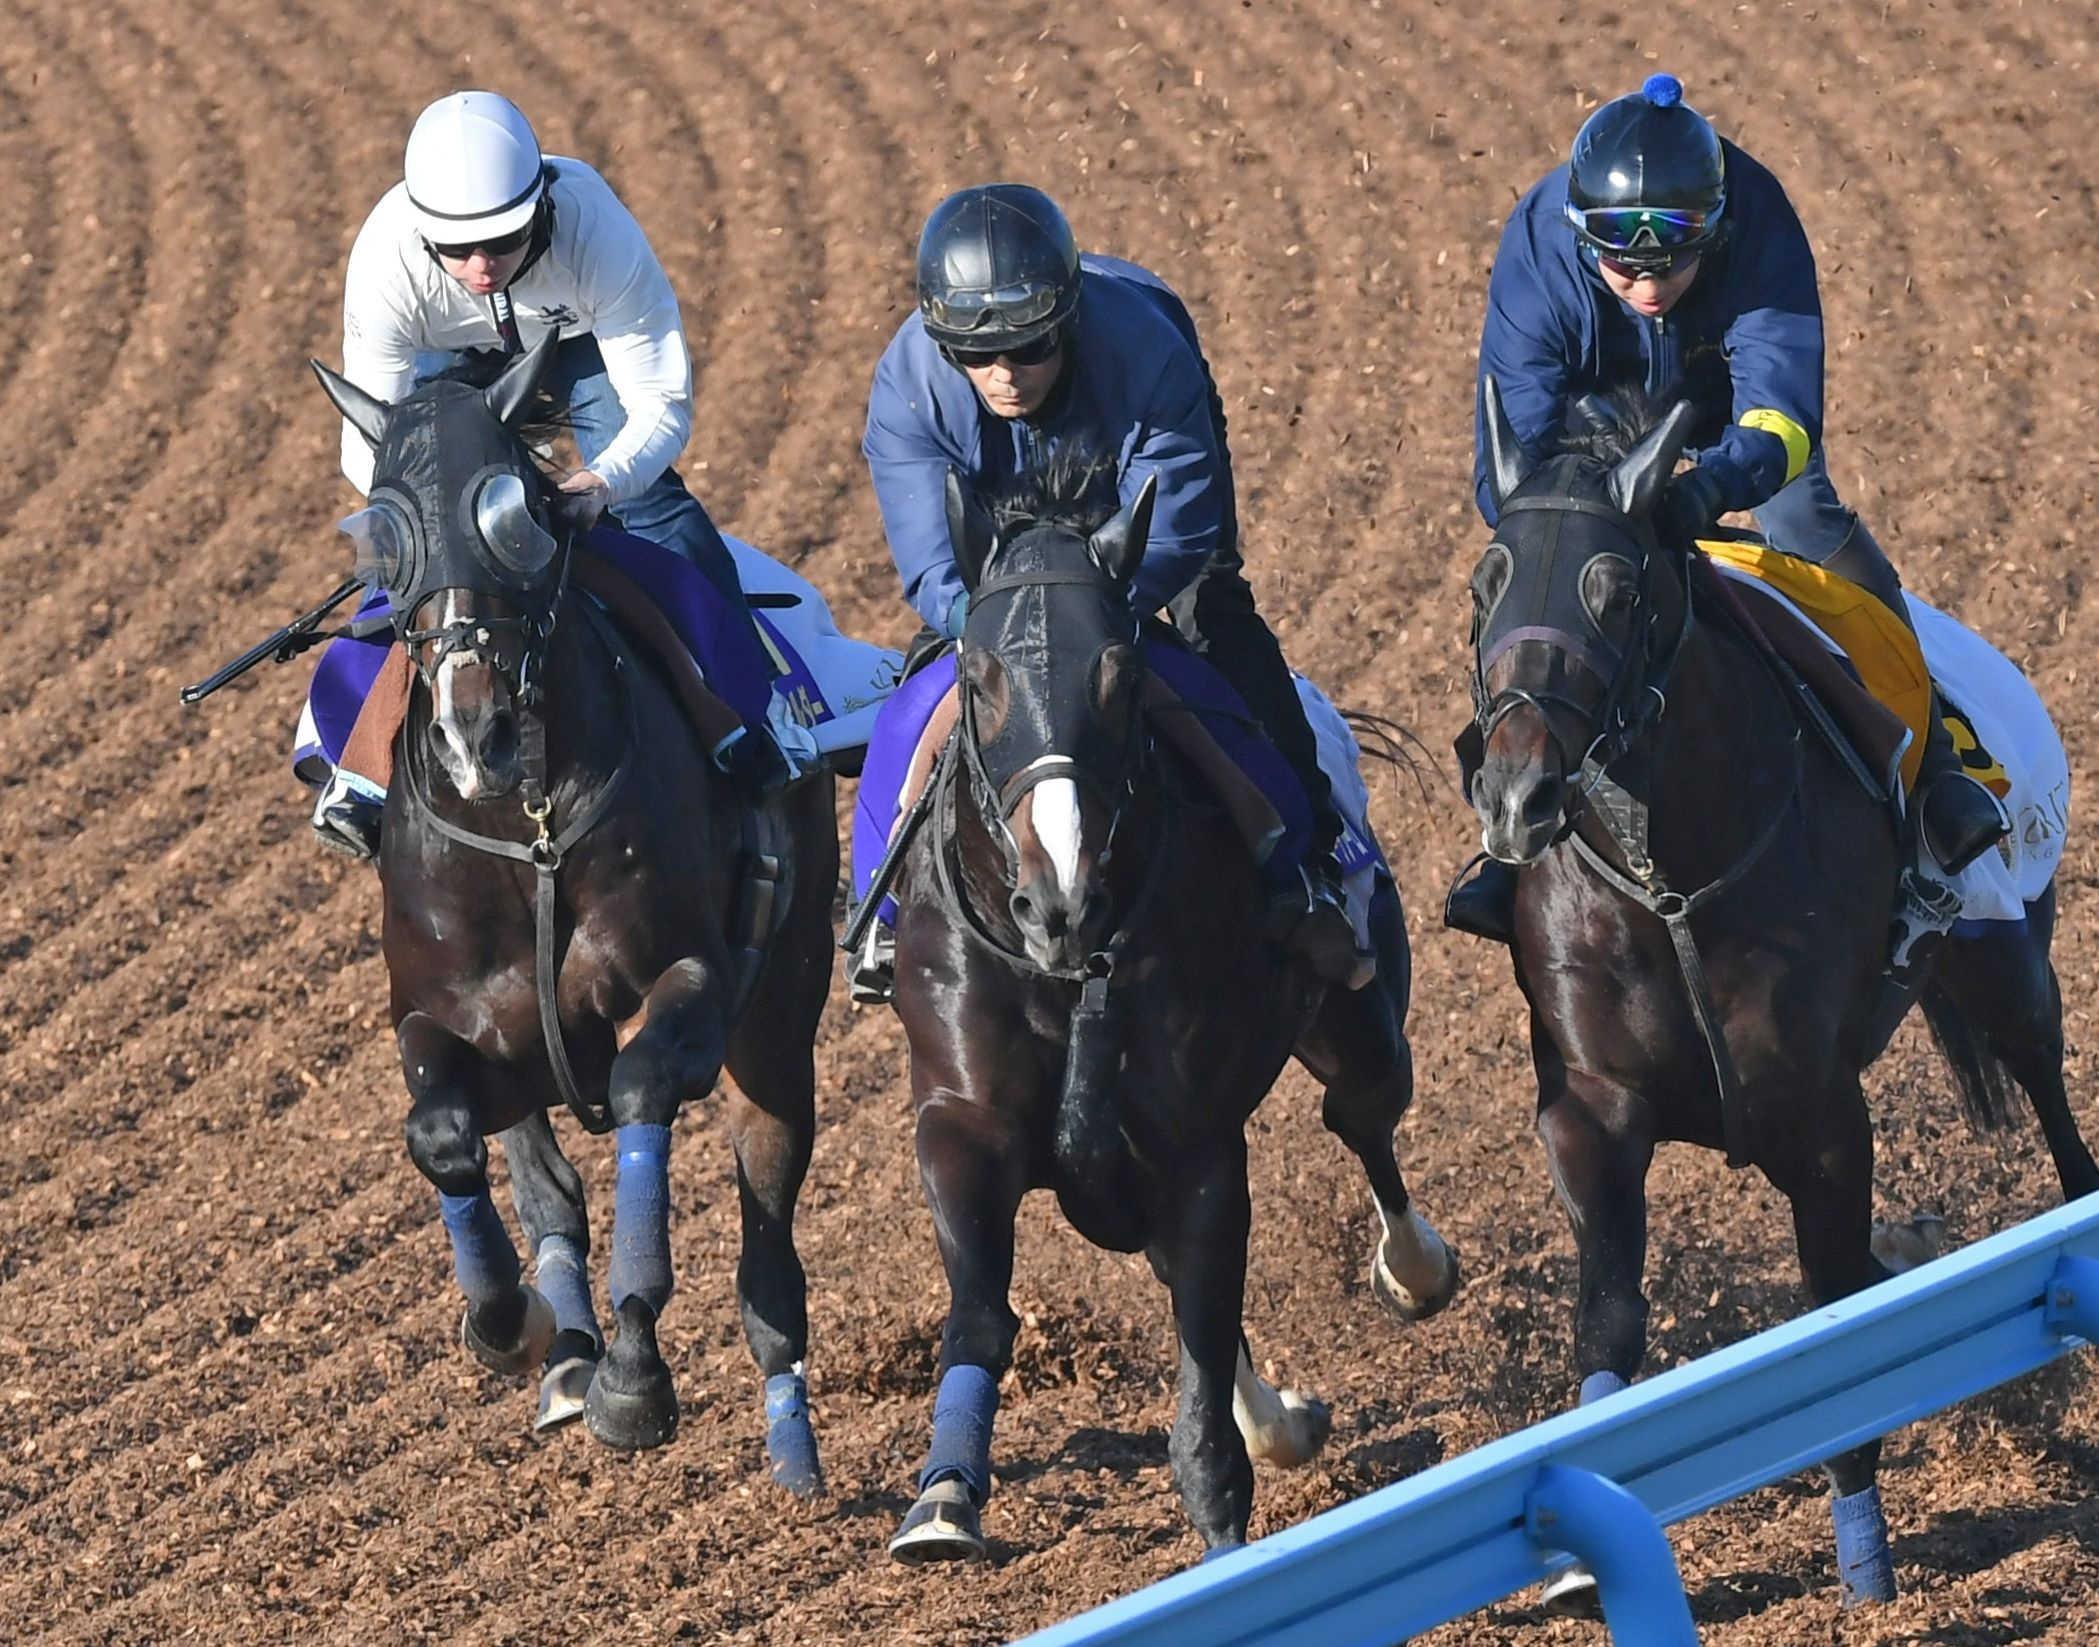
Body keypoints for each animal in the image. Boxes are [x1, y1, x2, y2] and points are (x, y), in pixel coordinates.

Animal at [310, 331, 835, 1477]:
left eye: (512, 514)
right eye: (386, 537)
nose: (475, 733)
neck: (529, 834)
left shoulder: (688, 980)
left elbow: (640, 1089)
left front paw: (632, 1379)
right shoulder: (442, 1018)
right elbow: (445, 1137)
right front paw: (516, 1328)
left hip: (781, 1009)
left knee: (769, 1209)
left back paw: (789, 1430)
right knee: (542, 1182)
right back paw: (564, 1350)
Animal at [885, 455, 1460, 1560]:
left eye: (1119, 671)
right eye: (977, 675)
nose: (1057, 898)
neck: (1068, 967)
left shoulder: (1194, 1142)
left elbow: (1200, 1343)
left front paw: (1227, 1526)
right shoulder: (962, 1123)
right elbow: (981, 1312)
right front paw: (942, 1495)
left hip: (1355, 1015)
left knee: (1361, 1117)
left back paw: (1412, 1272)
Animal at [1460, 379, 2099, 1602]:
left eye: (1617, 592)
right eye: (1485, 584)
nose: (1519, 795)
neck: (1668, 881)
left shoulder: (1818, 1114)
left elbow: (1832, 1327)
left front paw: (1864, 1561)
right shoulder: (1590, 1110)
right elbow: (1609, 1320)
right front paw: (1572, 1553)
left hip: (2003, 951)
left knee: (2053, 1105)